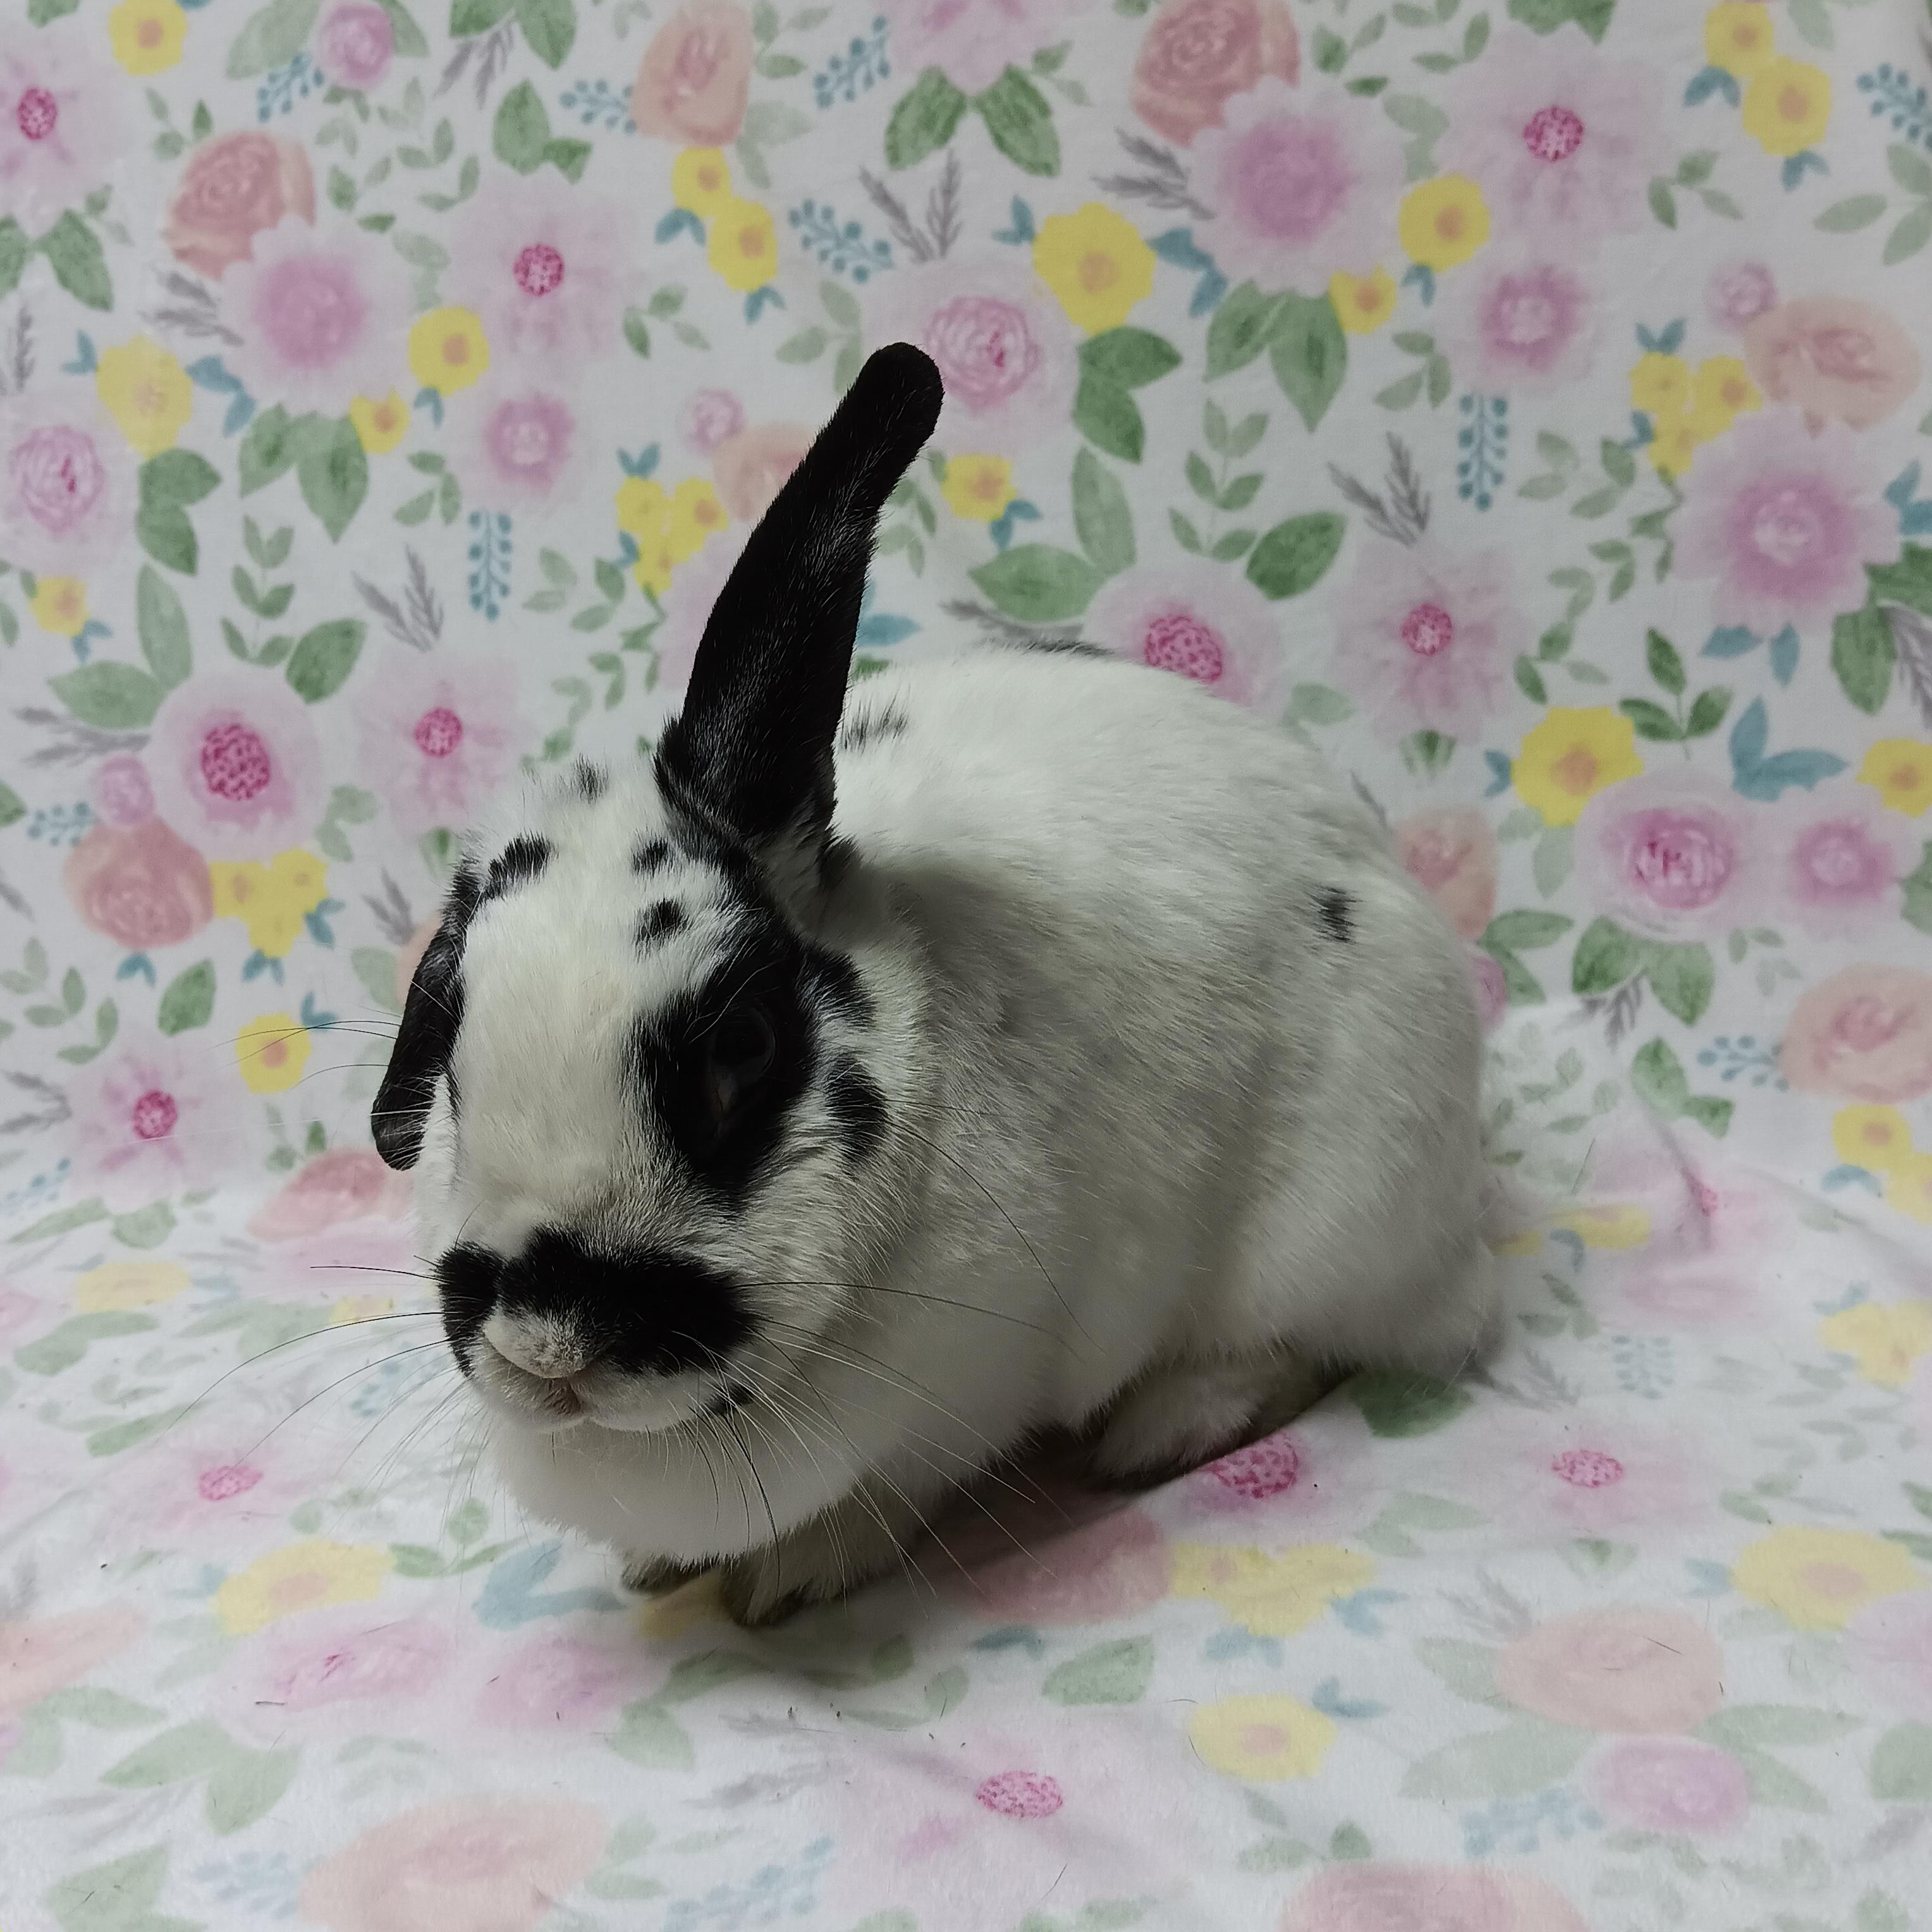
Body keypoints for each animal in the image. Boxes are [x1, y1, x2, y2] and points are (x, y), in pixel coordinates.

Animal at [372, 343, 1498, 1627]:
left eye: (744, 1050)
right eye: (451, 1058)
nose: (549, 1346)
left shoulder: (975, 1382)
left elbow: (890, 1490)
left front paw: (787, 1577)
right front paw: (655, 1568)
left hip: (1335, 1225)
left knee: (1310, 1344)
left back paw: (1160, 1430)